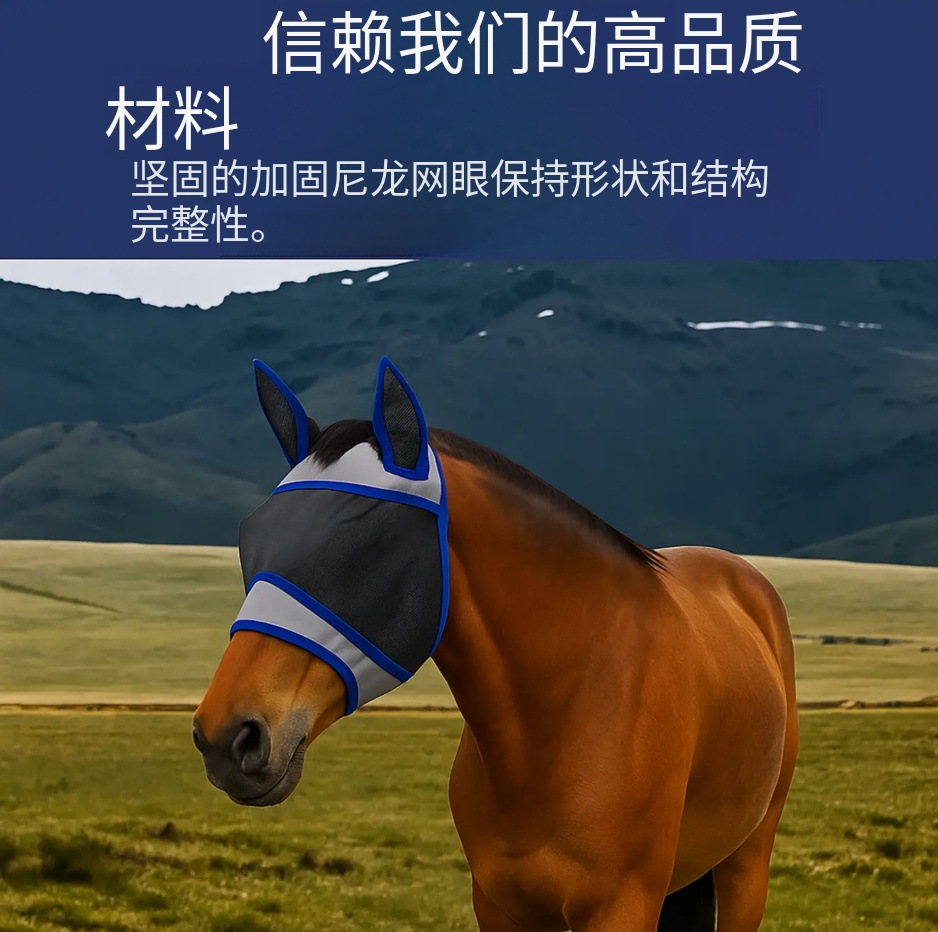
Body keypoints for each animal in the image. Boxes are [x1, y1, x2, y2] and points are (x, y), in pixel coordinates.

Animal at [193, 357, 798, 932]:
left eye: (369, 536)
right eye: (251, 534)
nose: (226, 735)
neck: (560, 719)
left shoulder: (622, 906)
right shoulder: (498, 906)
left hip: (747, 862)